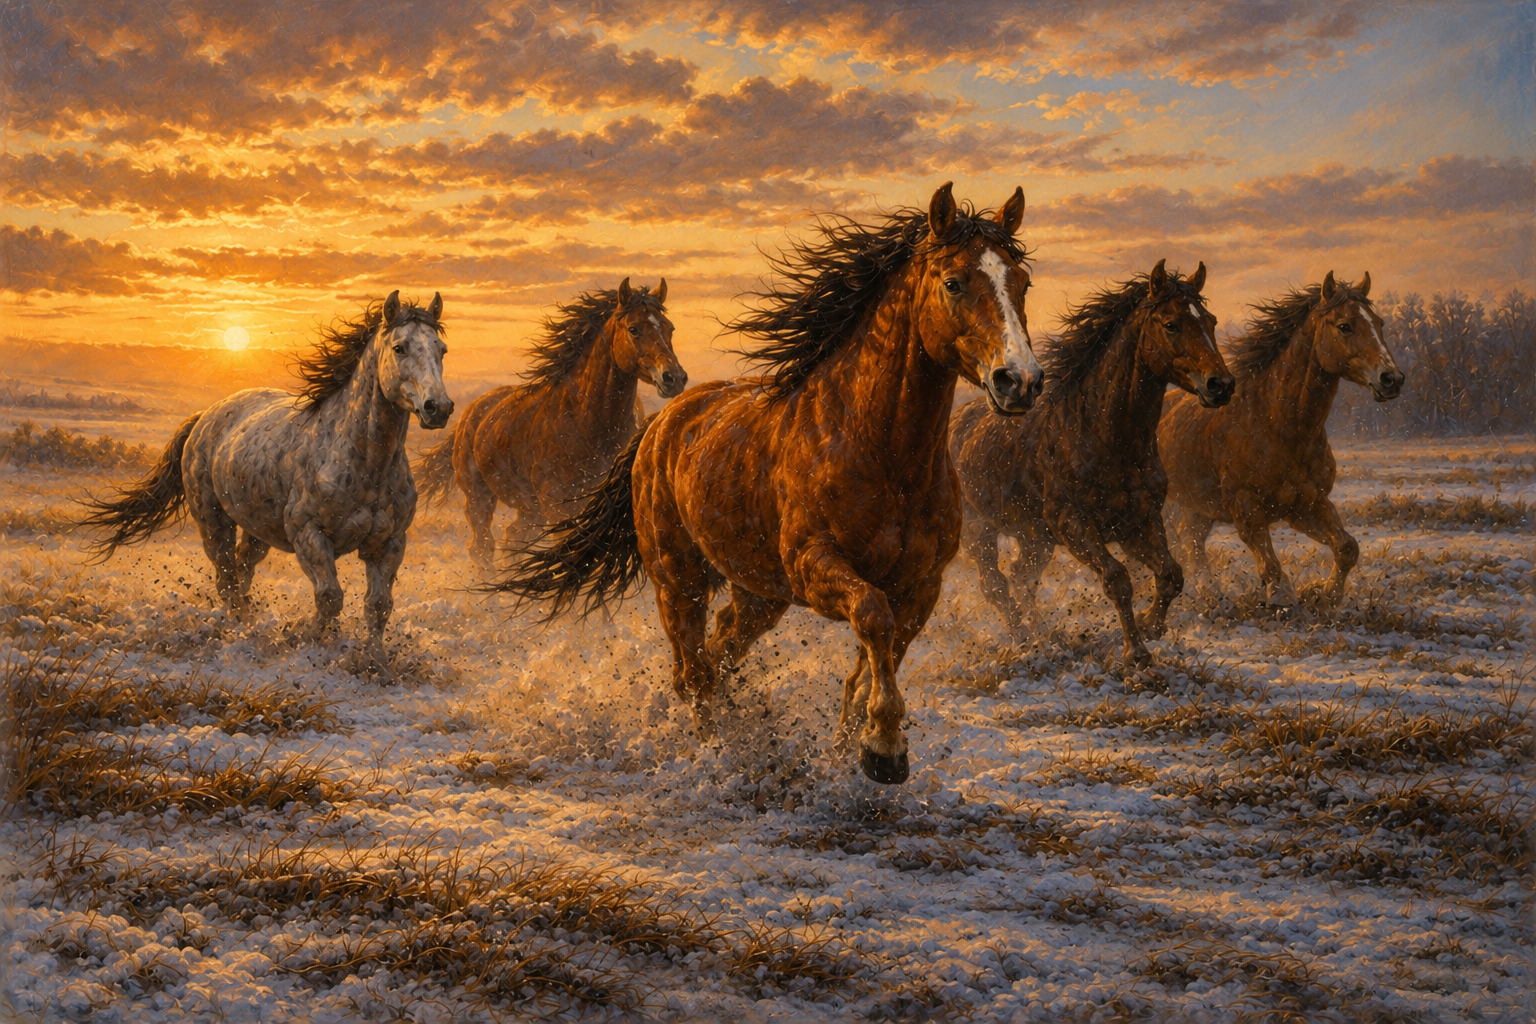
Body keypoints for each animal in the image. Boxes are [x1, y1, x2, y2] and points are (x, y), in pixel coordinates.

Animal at [78, 291, 451, 679]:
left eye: (441, 349)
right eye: (399, 347)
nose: (438, 408)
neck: (363, 460)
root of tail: (205, 417)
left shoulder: (390, 543)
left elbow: (378, 605)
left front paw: (378, 666)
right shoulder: (309, 535)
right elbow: (329, 597)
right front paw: (305, 645)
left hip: (258, 530)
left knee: (243, 568)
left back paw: (250, 623)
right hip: (213, 523)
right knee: (226, 578)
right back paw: (239, 631)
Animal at [415, 278, 685, 566]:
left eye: (670, 327)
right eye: (634, 329)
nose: (674, 378)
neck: (587, 424)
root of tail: (471, 411)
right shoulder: (559, 508)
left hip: (530, 509)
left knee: (513, 537)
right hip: (480, 499)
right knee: (482, 548)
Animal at [488, 183, 1042, 784]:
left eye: (1023, 283)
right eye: (954, 282)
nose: (1020, 381)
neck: (883, 454)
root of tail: (661, 423)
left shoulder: (923, 586)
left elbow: (872, 665)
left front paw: (857, 749)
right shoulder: (813, 566)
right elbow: (872, 616)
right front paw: (885, 749)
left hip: (758, 593)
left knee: (721, 651)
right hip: (678, 579)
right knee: (693, 671)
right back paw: (718, 757)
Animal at [950, 260, 1234, 666]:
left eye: (1210, 320)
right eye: (1171, 324)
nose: (1221, 385)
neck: (1106, 437)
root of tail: (959, 422)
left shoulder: (1138, 523)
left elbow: (1171, 574)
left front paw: (1150, 626)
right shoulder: (1075, 525)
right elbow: (1117, 579)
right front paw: (1136, 653)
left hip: (1034, 537)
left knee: (1022, 578)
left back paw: (1044, 637)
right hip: (980, 532)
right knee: (997, 585)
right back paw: (1025, 641)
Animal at [1158, 271, 1404, 608]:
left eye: (1379, 323)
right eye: (1345, 326)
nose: (1392, 379)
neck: (1281, 426)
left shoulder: (1306, 505)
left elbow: (1347, 548)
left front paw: (1323, 594)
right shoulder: (1246, 507)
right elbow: (1271, 567)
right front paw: (1282, 599)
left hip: (1198, 506)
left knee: (1189, 539)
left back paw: (1209, 592)